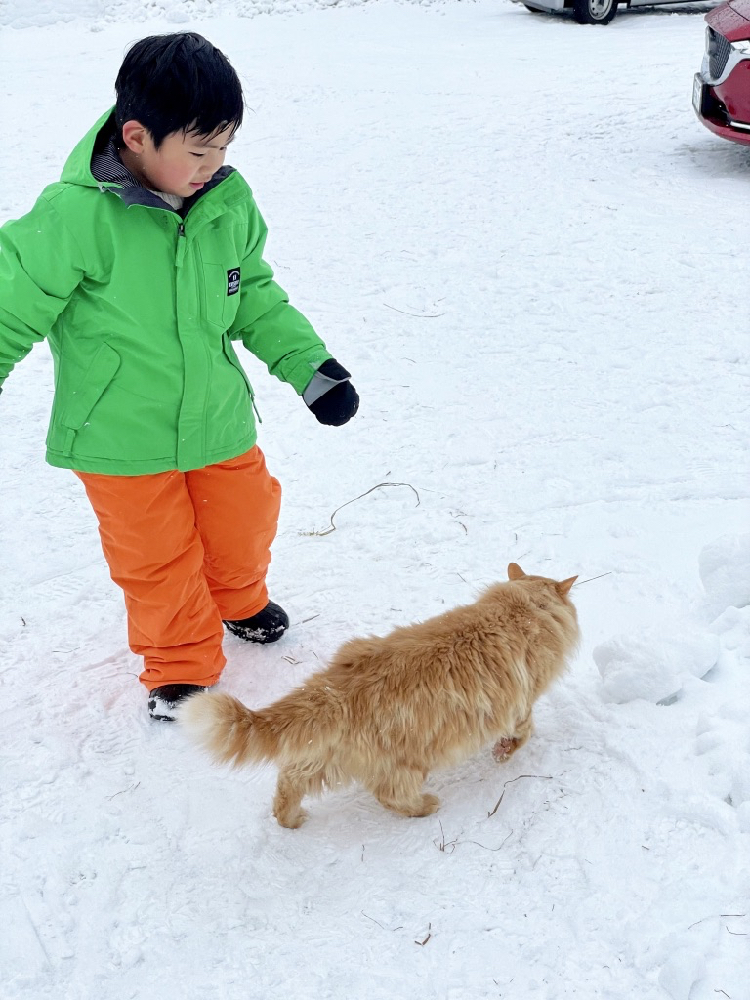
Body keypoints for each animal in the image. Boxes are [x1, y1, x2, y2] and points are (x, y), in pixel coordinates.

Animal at [179, 564, 580, 828]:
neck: (521, 610)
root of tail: (334, 691)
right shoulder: (520, 704)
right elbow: (522, 733)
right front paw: (503, 753)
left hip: (321, 759)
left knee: (289, 781)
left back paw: (291, 820)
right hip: (408, 763)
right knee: (392, 796)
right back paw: (427, 805)